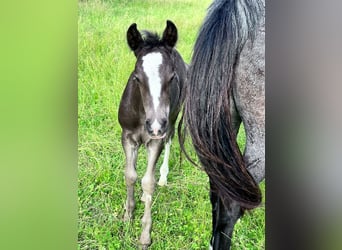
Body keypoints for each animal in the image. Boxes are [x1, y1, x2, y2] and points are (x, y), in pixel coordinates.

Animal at [117, 21, 187, 248]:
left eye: (172, 77)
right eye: (136, 77)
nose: (155, 126)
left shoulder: (154, 141)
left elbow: (148, 182)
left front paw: (144, 236)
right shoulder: (128, 137)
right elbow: (130, 176)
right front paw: (128, 215)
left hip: (172, 120)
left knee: (170, 140)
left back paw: (163, 177)